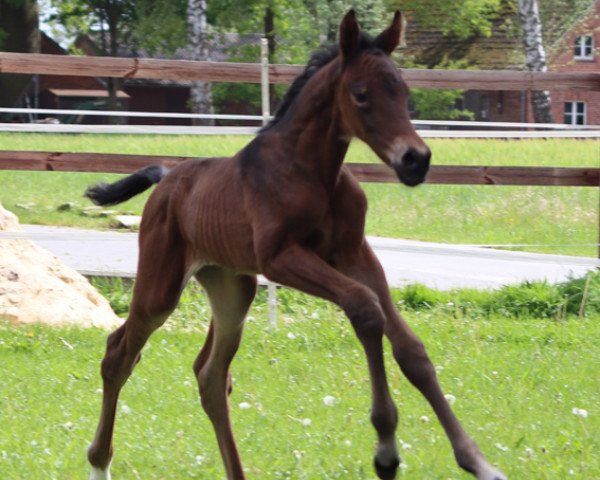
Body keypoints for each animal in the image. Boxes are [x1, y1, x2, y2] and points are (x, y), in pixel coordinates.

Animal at [84, 11, 506, 480]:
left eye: (403, 90)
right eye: (360, 94)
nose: (416, 160)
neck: (311, 171)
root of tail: (167, 178)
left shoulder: (354, 253)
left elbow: (411, 349)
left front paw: (478, 461)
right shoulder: (281, 258)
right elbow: (364, 309)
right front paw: (385, 447)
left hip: (233, 288)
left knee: (210, 375)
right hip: (161, 287)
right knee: (118, 354)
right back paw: (99, 463)